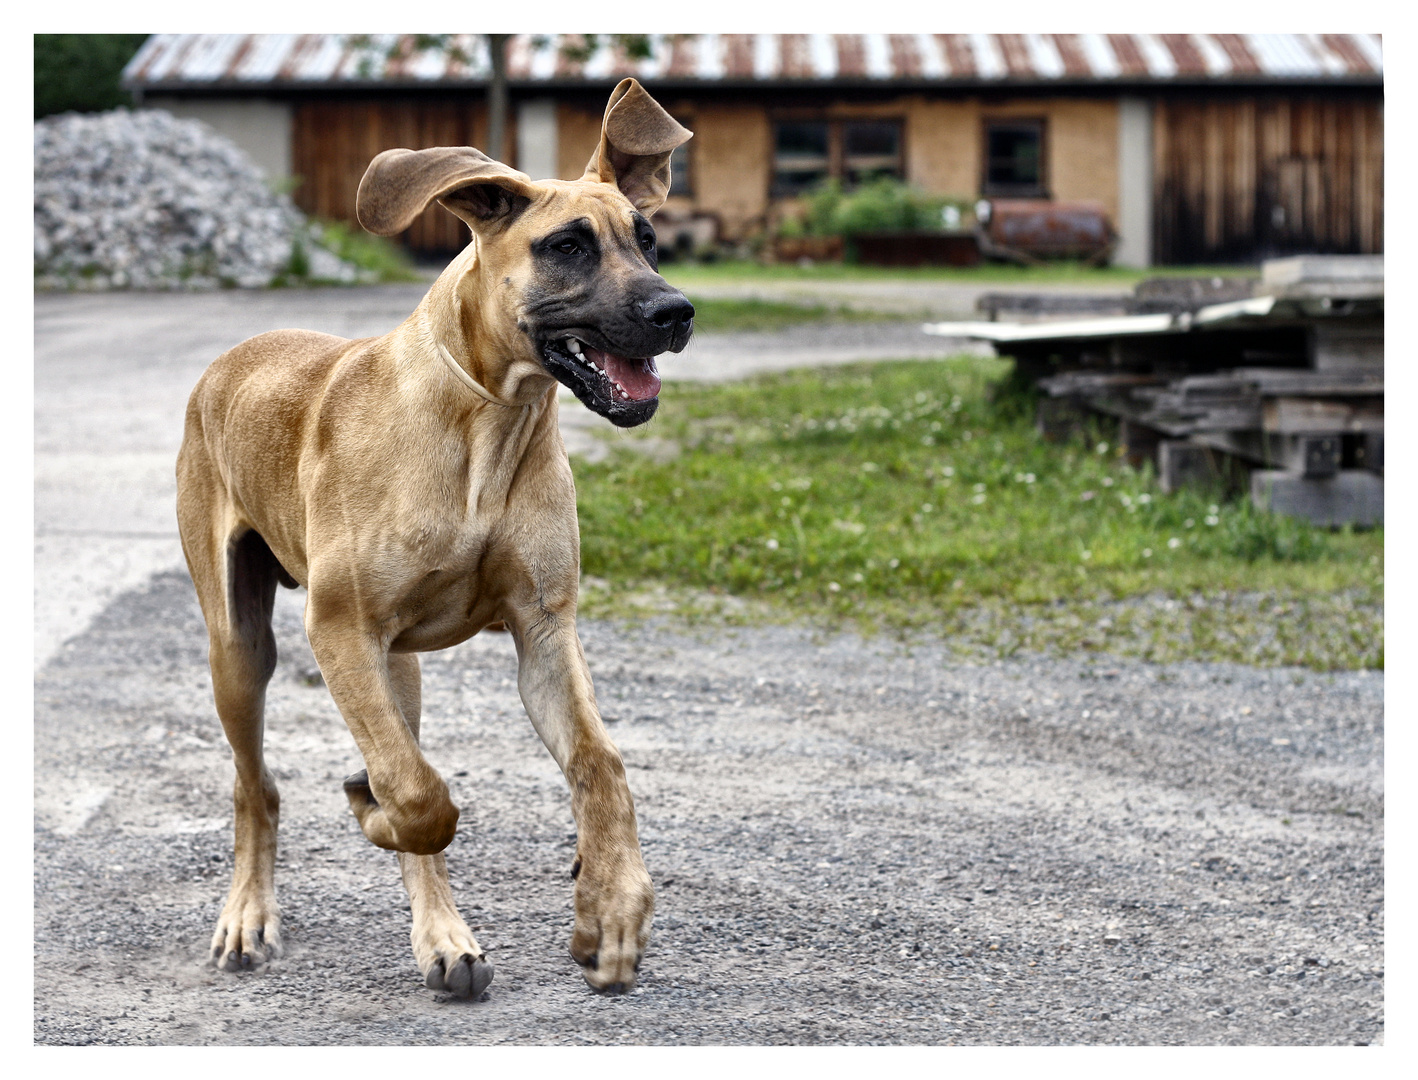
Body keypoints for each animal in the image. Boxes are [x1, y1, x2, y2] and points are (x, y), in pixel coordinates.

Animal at [174, 80, 694, 997]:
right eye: (567, 246)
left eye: (648, 240)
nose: (676, 312)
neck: (490, 421)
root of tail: (237, 351)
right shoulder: (339, 629)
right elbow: (420, 799)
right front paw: (373, 808)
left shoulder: (545, 631)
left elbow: (601, 767)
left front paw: (610, 906)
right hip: (241, 647)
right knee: (258, 785)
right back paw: (249, 915)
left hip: (396, 667)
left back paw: (444, 938)